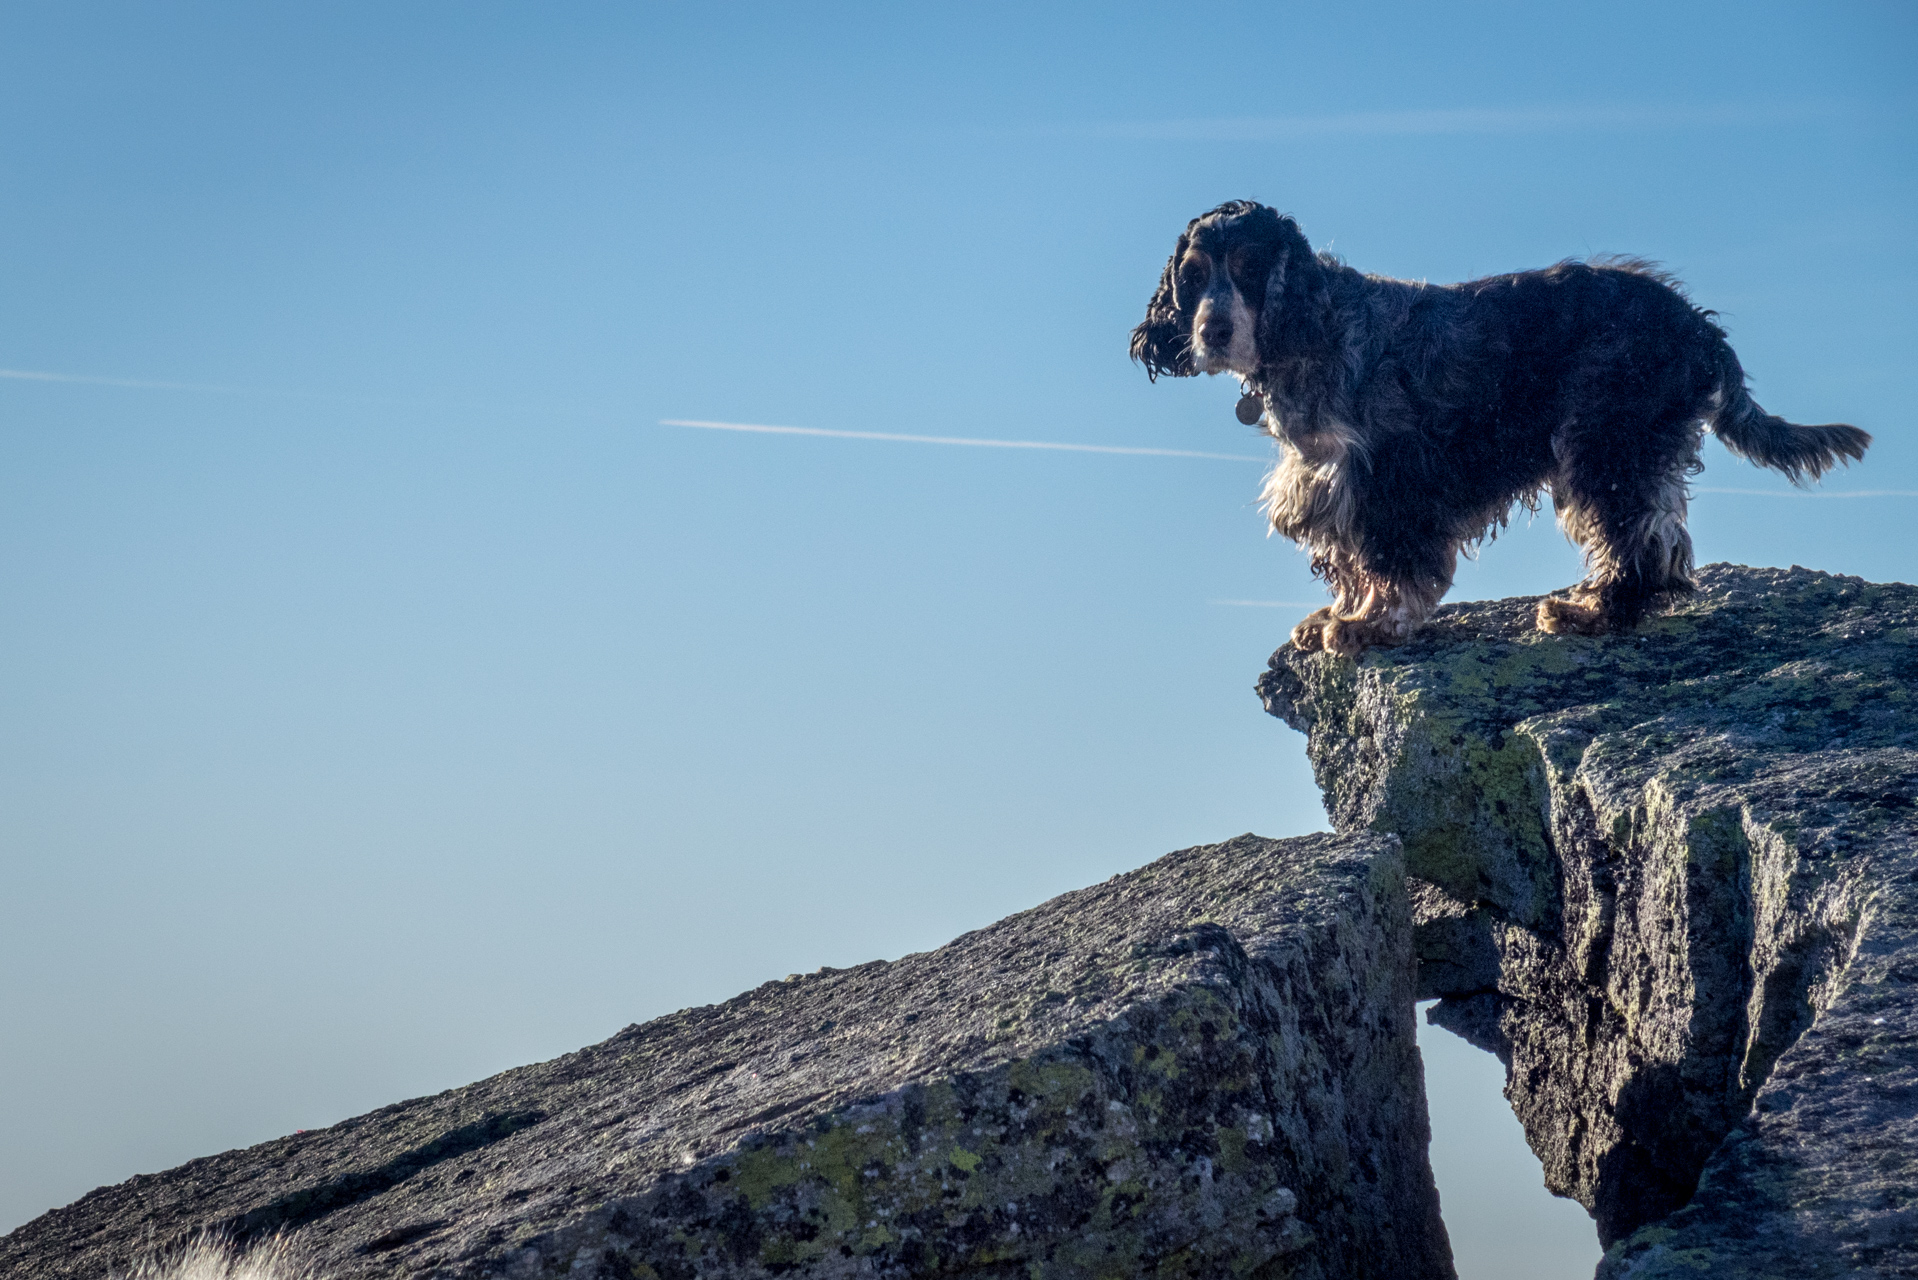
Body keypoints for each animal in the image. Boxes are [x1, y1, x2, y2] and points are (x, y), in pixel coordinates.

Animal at [1127, 206, 1864, 660]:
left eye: (1251, 269)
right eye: (1194, 276)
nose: (1212, 331)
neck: (1313, 327)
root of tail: (1696, 324)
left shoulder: (1388, 476)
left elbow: (1388, 561)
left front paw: (1369, 624)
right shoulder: (1331, 478)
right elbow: (1349, 558)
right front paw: (1338, 614)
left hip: (1603, 439)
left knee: (1639, 537)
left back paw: (1592, 612)